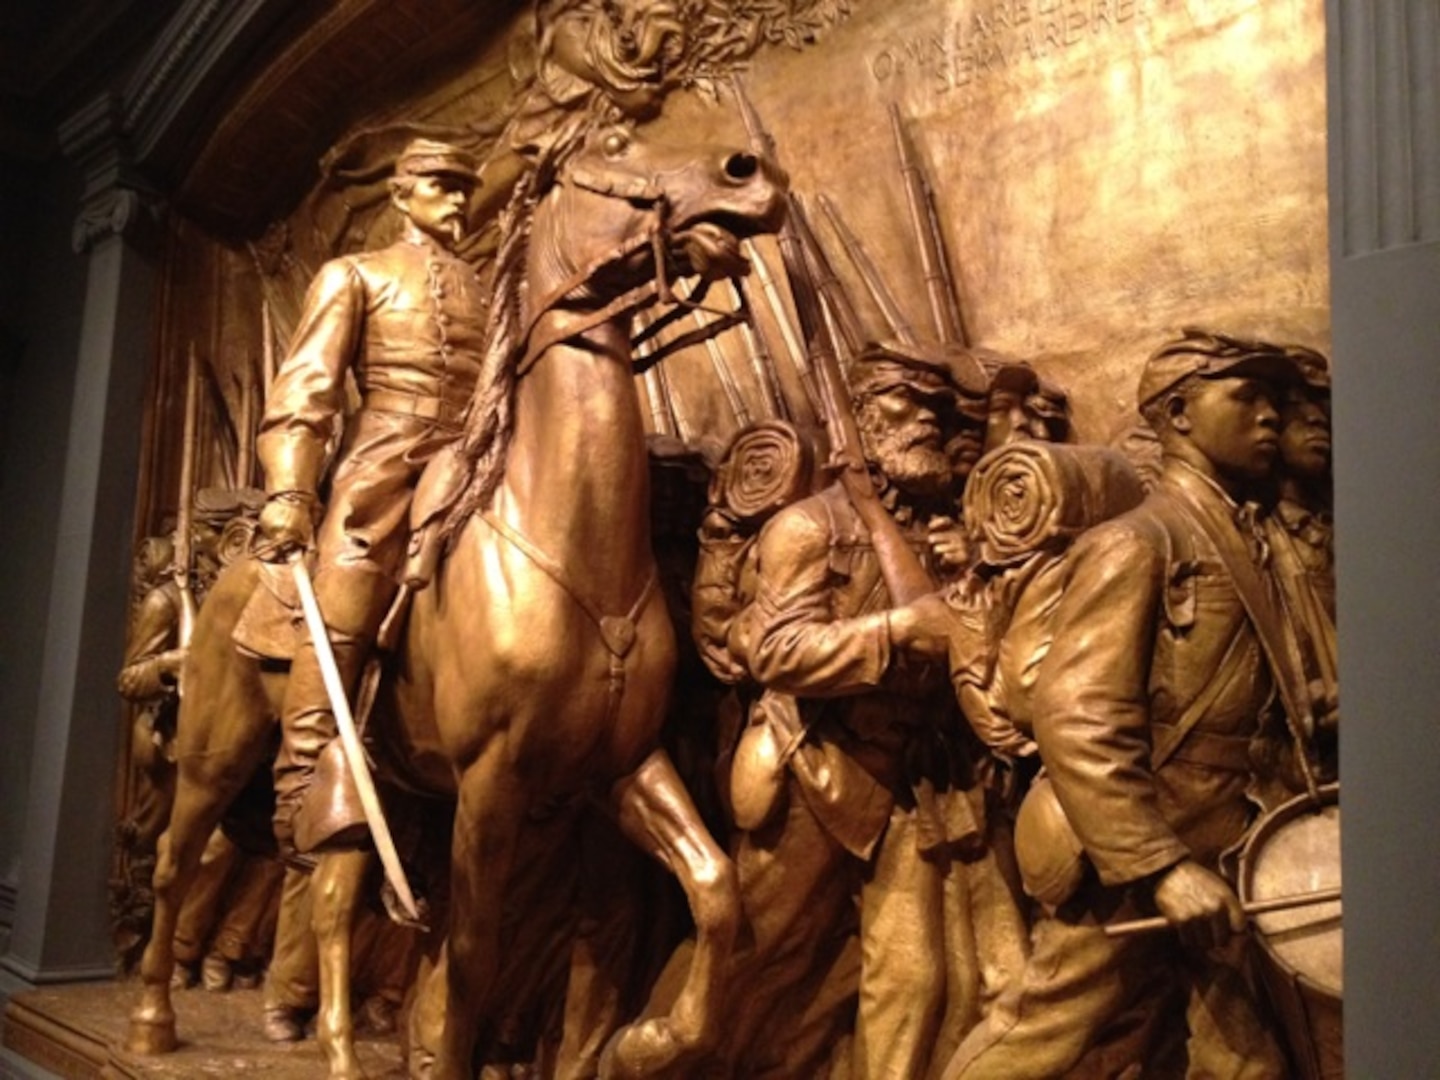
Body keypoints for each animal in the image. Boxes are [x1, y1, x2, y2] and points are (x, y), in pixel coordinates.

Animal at [126, 126, 789, 1080]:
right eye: (615, 152)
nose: (749, 174)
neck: (564, 542)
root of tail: (230, 580)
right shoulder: (491, 781)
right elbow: (476, 952)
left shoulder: (623, 766)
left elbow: (715, 886)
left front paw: (653, 1039)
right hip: (220, 753)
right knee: (179, 861)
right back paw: (153, 1020)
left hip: (379, 793)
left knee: (333, 893)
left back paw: (338, 1048)